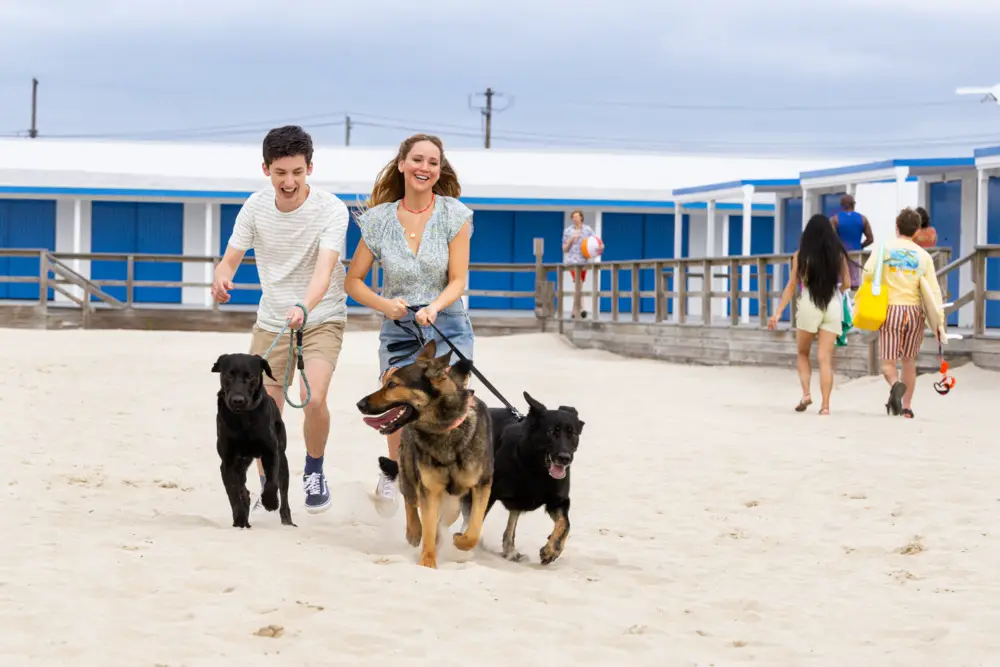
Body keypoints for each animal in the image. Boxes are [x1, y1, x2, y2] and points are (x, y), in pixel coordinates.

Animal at [209, 352, 292, 528]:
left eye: (250, 377)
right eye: (229, 375)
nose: (238, 400)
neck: (243, 419)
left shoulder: (271, 453)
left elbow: (271, 483)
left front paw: (270, 502)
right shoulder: (228, 462)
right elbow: (234, 494)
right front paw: (240, 521)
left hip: (283, 458)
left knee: (284, 492)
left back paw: (287, 520)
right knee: (243, 491)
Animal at [358, 342, 494, 572]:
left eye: (393, 385)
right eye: (387, 382)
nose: (360, 404)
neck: (444, 428)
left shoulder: (482, 486)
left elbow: (474, 530)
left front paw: (460, 541)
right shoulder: (429, 490)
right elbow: (428, 528)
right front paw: (427, 563)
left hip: (453, 504)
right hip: (410, 473)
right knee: (410, 501)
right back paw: (414, 531)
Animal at [462, 394, 584, 568]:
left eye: (572, 433)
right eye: (551, 432)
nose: (565, 458)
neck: (537, 468)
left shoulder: (558, 501)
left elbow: (565, 525)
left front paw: (552, 550)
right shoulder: (486, 493)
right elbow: (473, 522)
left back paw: (510, 551)